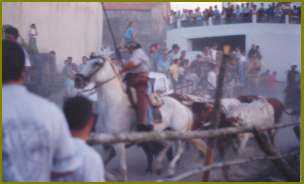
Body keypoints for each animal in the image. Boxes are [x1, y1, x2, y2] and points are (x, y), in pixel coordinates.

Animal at [76, 56, 208, 180]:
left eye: (96, 63)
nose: (78, 79)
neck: (112, 105)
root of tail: (183, 106)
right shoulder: (106, 145)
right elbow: (103, 166)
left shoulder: (119, 145)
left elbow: (123, 169)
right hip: (163, 132)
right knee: (167, 145)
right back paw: (159, 165)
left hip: (179, 132)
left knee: (179, 149)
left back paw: (169, 169)